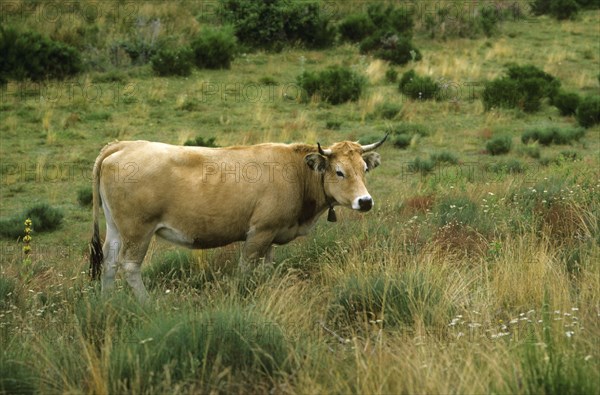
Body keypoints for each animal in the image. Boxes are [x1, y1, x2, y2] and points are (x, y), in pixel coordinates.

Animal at [90, 136, 390, 304]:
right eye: (339, 172)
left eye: (364, 168)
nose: (365, 201)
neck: (296, 172)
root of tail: (123, 145)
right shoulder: (259, 233)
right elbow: (247, 269)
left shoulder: (271, 237)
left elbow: (265, 269)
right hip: (137, 230)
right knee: (129, 266)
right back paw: (147, 304)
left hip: (115, 228)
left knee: (110, 262)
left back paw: (106, 303)